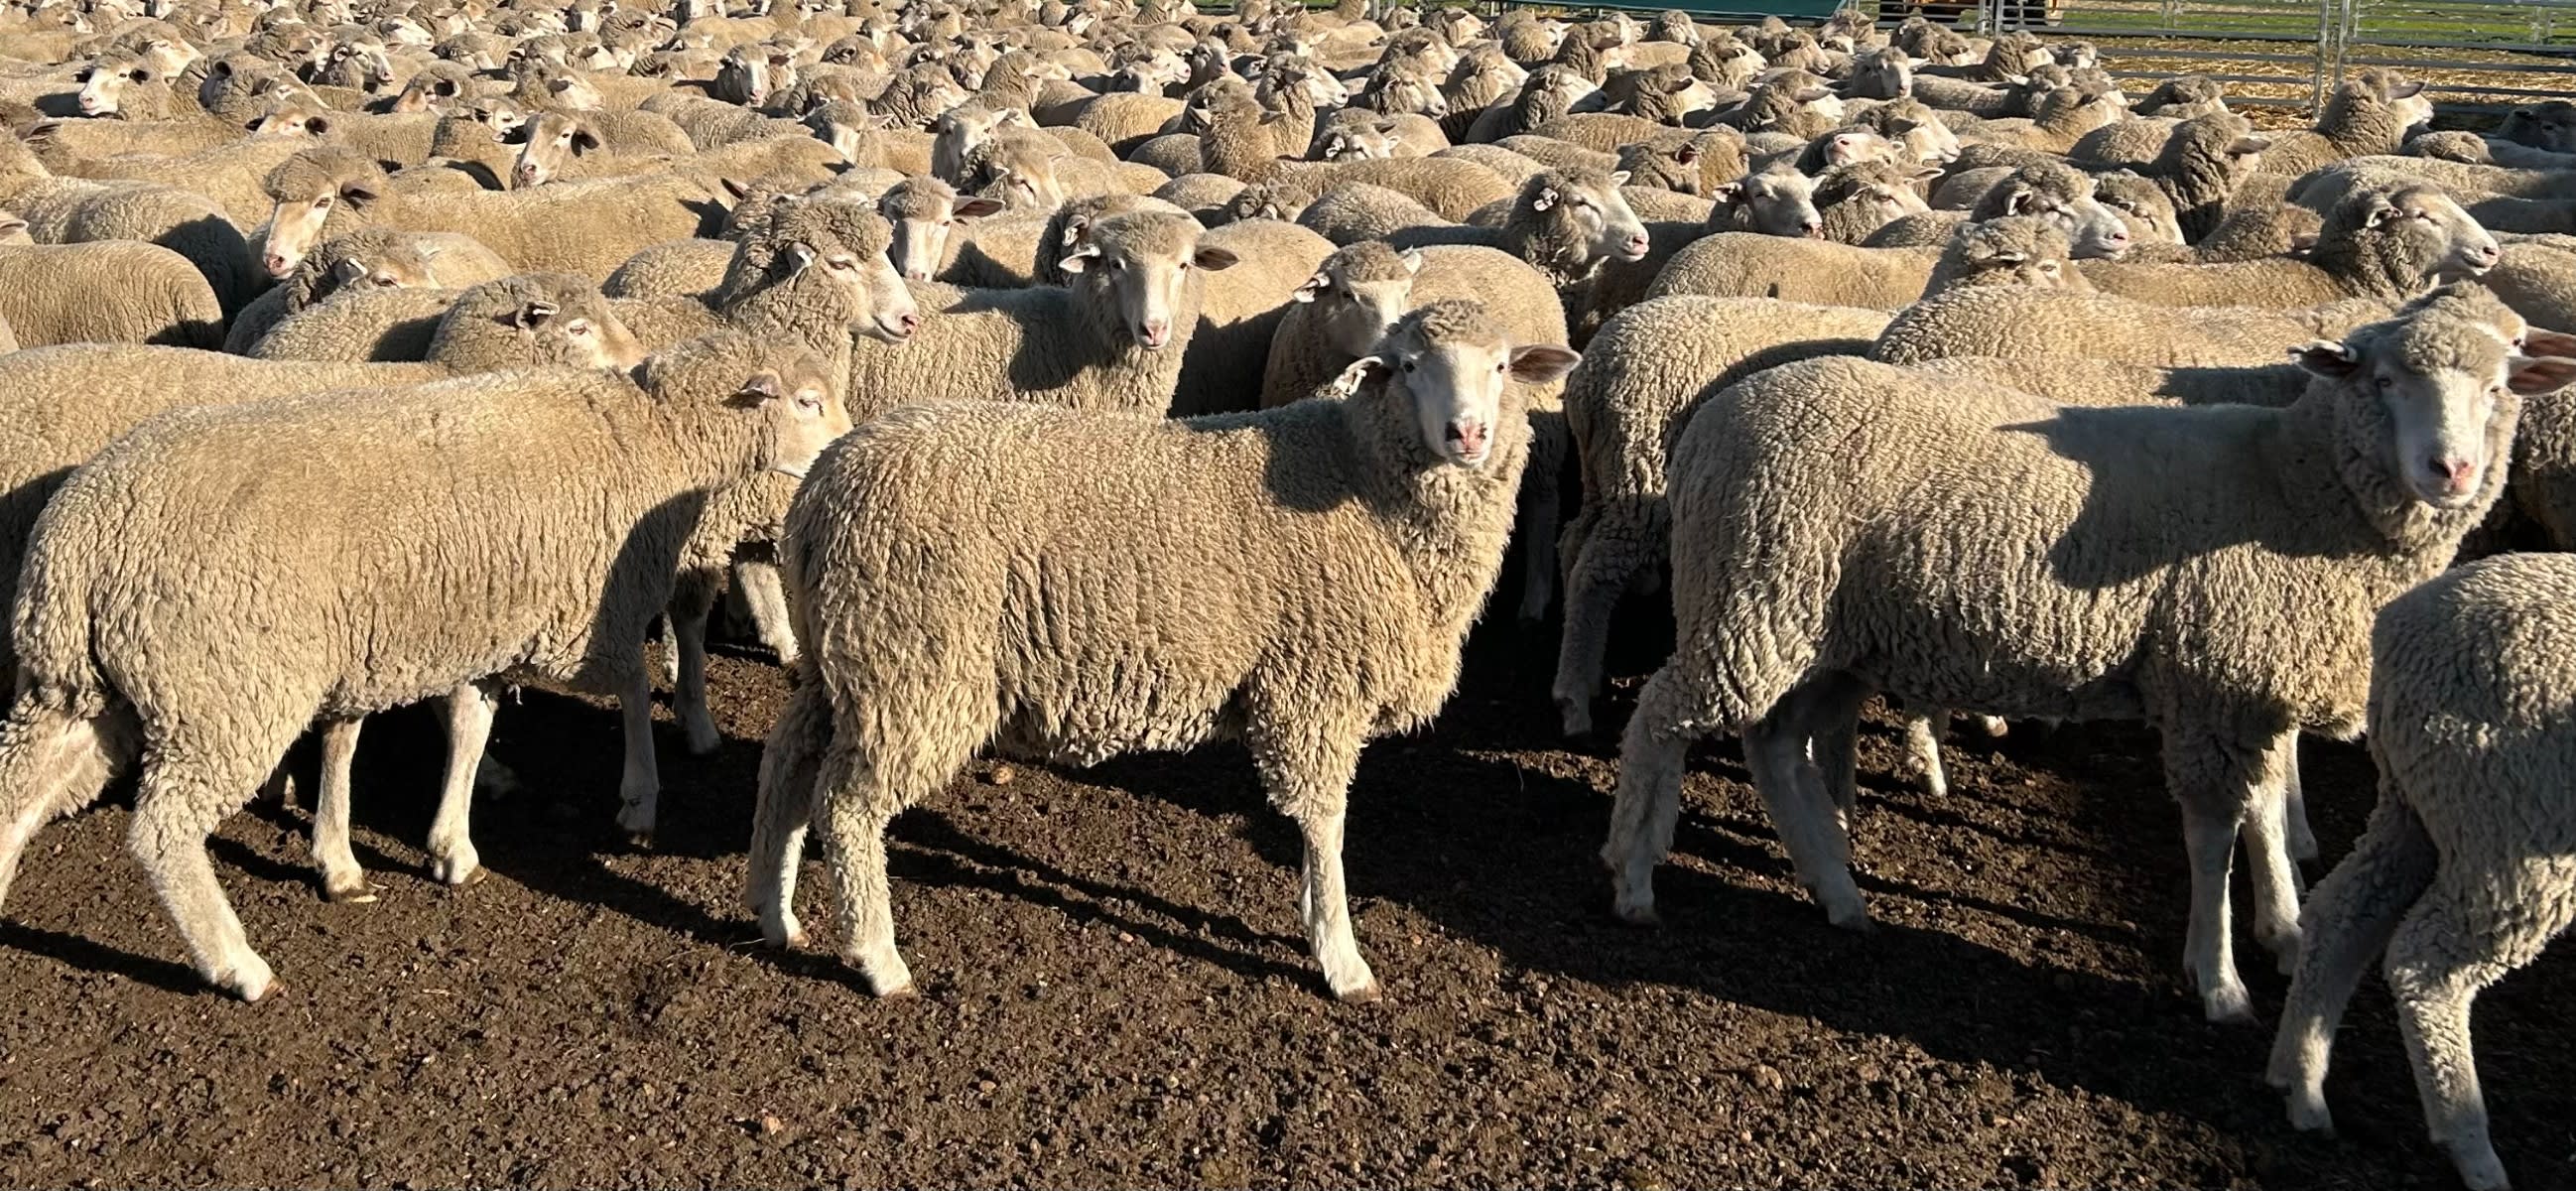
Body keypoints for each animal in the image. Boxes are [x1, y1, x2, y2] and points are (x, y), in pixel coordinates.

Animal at [0, 329, 847, 999]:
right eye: (809, 401)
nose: (844, 444)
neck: (656, 433)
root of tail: (82, 541)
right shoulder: (578, 612)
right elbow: (635, 691)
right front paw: (638, 798)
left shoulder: (485, 626)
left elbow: (469, 729)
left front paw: (450, 845)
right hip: (224, 694)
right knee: (163, 834)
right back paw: (237, 965)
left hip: (81, 686)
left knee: (21, 785)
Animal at [744, 299, 1580, 1000]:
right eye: (1407, 366)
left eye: (1500, 366)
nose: (1467, 434)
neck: (1358, 473)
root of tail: (821, 490)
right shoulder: (1314, 687)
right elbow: (1324, 822)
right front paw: (1339, 955)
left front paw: (1316, 921)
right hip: (913, 664)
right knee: (847, 806)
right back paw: (879, 960)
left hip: (844, 657)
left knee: (787, 762)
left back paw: (773, 911)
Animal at [1552, 294, 1895, 736]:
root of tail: (1592, 372)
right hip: (1641, 476)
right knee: (1594, 572)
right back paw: (1575, 696)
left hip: (1603, 472)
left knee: (1573, 541)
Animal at [1604, 285, 2571, 1023]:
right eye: (2384, 379)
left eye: (2500, 385)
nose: (2449, 470)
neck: (2292, 485)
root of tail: (1708, 421)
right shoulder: (2209, 682)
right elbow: (2214, 833)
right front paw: (2218, 980)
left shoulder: (2246, 682)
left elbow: (2265, 810)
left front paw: (2286, 932)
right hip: (1754, 597)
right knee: (1660, 717)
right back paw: (1634, 877)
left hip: (1814, 630)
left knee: (1770, 745)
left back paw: (1837, 892)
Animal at [2269, 552, 2576, 1191]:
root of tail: (2402, 630)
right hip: (2512, 826)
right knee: (2425, 967)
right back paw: (2472, 1147)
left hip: (2417, 802)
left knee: (2341, 916)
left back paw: (2301, 1082)